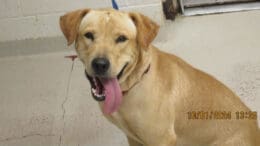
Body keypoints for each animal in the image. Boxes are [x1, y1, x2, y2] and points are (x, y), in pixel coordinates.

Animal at [60, 8, 258, 146]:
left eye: (122, 38)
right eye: (89, 35)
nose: (100, 64)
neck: (135, 83)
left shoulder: (161, 139)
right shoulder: (133, 138)